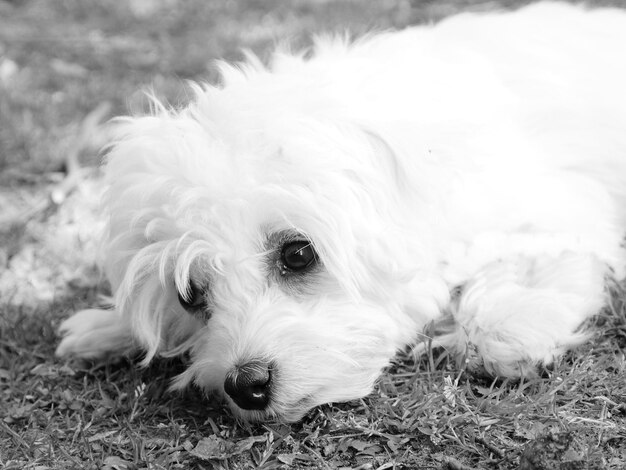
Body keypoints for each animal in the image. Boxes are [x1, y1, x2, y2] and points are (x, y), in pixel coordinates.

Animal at [57, 2, 624, 422]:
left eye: (298, 254)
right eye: (191, 294)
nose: (246, 385)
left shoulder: (555, 203)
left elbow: (533, 262)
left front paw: (508, 324)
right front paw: (108, 327)